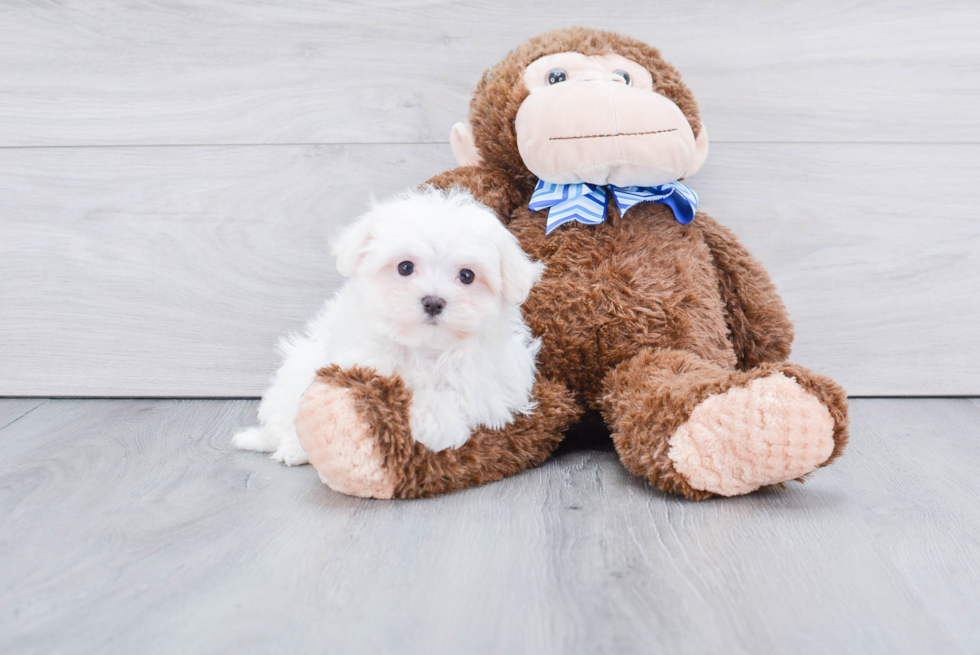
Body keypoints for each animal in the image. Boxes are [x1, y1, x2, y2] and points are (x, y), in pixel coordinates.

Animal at [234, 188, 548, 466]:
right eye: (405, 267)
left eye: (467, 276)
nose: (433, 302)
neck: (424, 347)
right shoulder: (357, 356)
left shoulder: (493, 383)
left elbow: (455, 395)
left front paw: (434, 425)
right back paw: (295, 448)